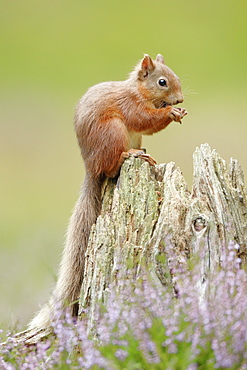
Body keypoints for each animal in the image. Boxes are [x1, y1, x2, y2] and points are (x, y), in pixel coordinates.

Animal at [28, 54, 187, 332]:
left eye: (175, 76)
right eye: (162, 82)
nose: (179, 100)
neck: (139, 92)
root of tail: (91, 167)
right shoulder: (131, 106)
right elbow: (144, 120)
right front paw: (170, 112)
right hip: (112, 133)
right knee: (112, 167)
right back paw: (130, 155)